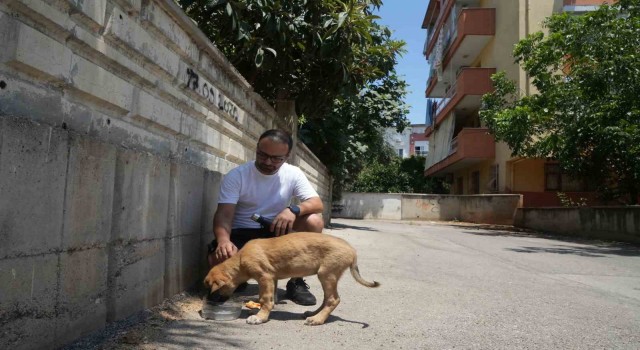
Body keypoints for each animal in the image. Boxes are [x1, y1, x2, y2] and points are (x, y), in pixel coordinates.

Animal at [202, 232, 378, 326]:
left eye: (212, 289)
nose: (209, 300)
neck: (240, 260)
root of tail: (352, 250)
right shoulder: (272, 278)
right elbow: (270, 299)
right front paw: (263, 311)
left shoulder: (264, 277)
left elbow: (264, 298)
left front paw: (260, 317)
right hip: (327, 277)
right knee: (327, 299)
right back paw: (313, 313)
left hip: (327, 274)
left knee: (333, 299)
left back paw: (317, 319)